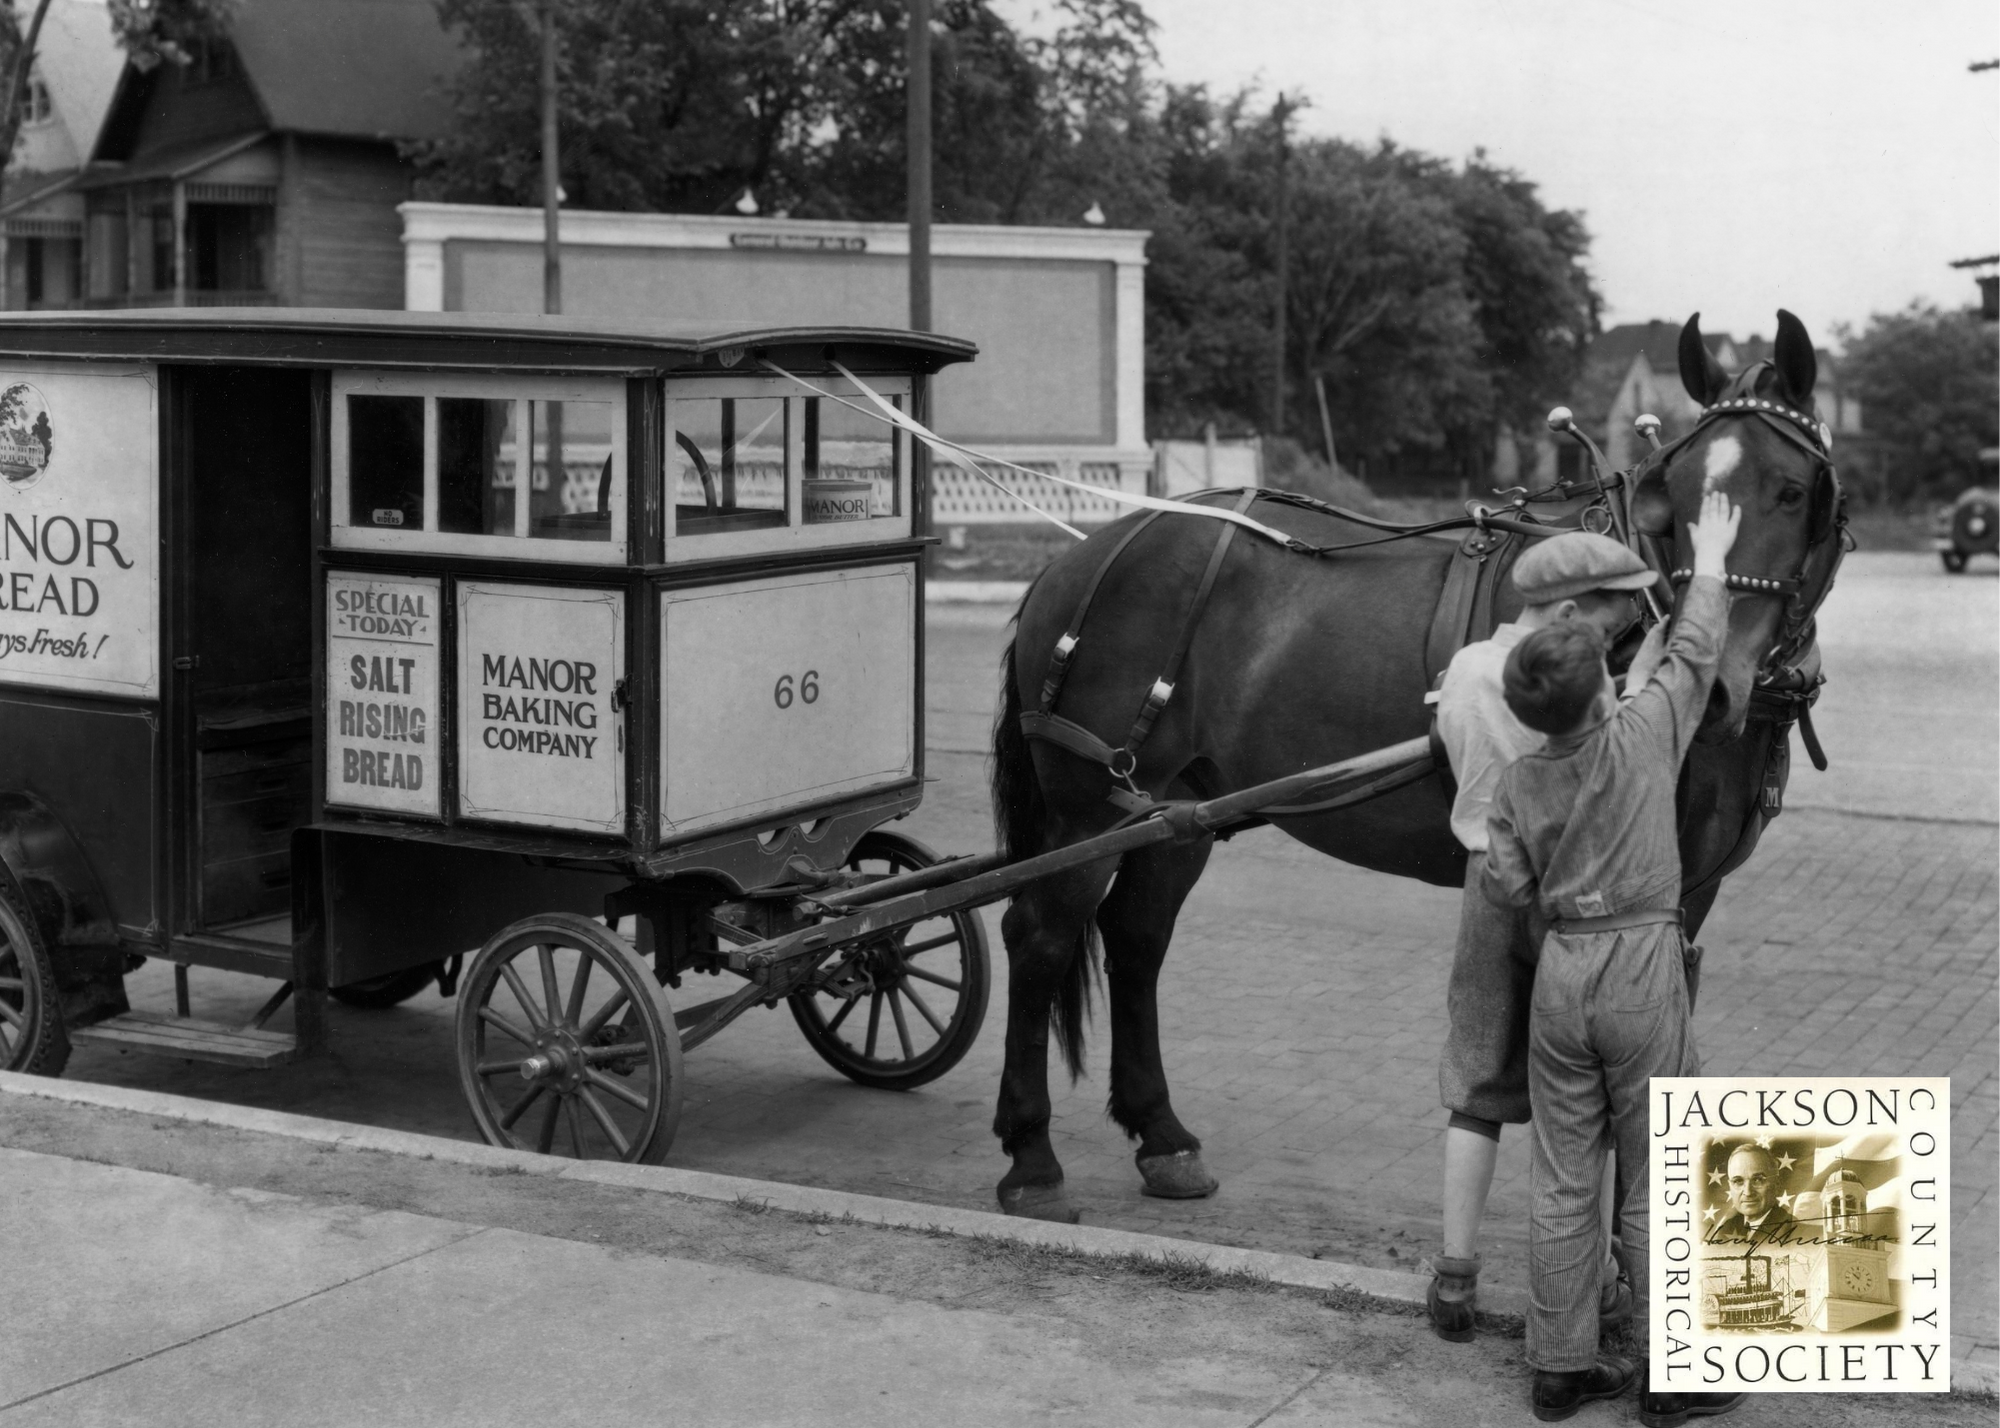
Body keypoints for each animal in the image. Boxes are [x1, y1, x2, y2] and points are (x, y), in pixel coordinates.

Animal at [984, 308, 1840, 1216]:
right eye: (1675, 496)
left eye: (1793, 492)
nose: (1707, 684)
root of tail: (1083, 555)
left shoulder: (1686, 894)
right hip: (1086, 808)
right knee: (1039, 937)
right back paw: (1032, 1155)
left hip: (1171, 813)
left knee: (1136, 936)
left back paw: (1162, 1135)